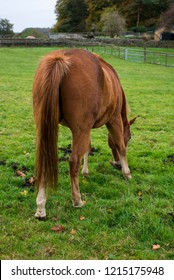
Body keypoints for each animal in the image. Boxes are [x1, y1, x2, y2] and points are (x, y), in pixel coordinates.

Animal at [32, 48, 136, 219]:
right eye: (130, 137)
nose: (116, 164)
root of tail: (60, 59)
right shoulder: (113, 120)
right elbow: (121, 146)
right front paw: (127, 173)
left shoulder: (86, 129)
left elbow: (87, 148)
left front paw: (85, 172)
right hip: (82, 129)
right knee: (73, 161)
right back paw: (77, 200)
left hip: (46, 130)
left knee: (45, 162)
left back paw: (41, 206)